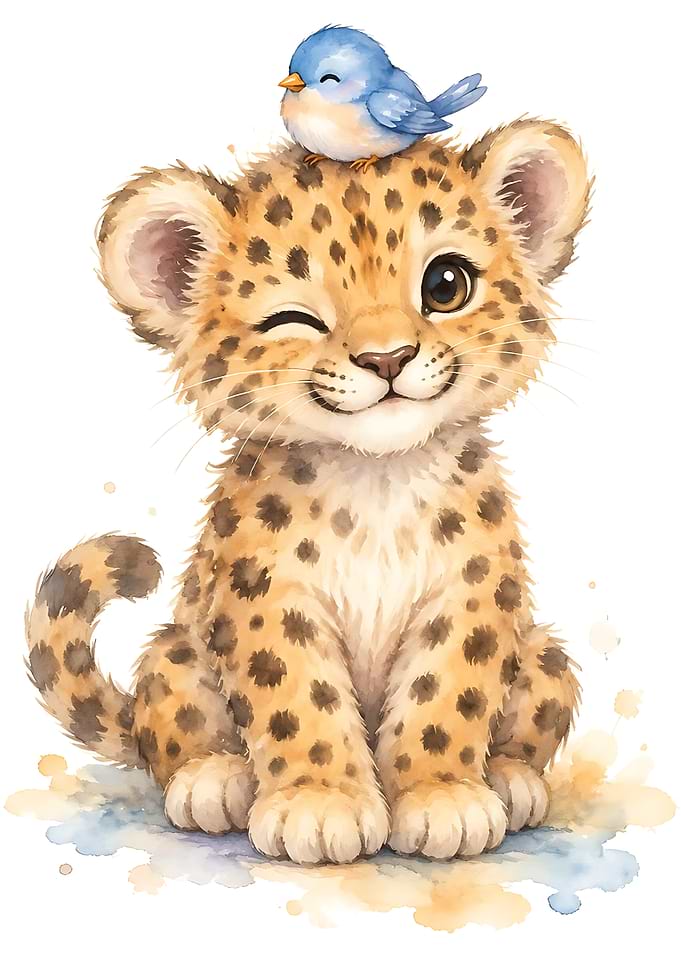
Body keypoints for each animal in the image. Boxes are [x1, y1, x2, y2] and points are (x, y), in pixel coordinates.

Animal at [26, 118, 589, 864]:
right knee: (169, 734)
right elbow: (298, 693)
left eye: (446, 284)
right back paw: (212, 780)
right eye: (292, 318)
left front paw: (441, 794)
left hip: (545, 655)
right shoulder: (267, 592)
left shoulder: (470, 587)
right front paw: (320, 804)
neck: (379, 478)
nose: (386, 358)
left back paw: (512, 779)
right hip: (174, 653)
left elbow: (447, 692)